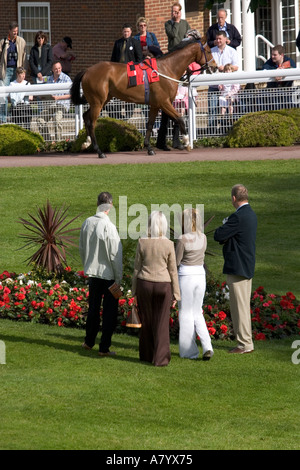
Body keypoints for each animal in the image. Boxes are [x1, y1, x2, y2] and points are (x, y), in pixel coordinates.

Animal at [70, 39, 216, 159]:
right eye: (209, 51)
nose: (215, 66)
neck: (166, 69)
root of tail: (88, 71)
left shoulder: (155, 104)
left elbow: (150, 125)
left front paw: (149, 148)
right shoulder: (164, 102)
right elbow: (179, 118)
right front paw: (186, 142)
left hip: (103, 100)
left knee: (86, 116)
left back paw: (86, 142)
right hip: (98, 102)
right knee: (91, 123)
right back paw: (99, 151)